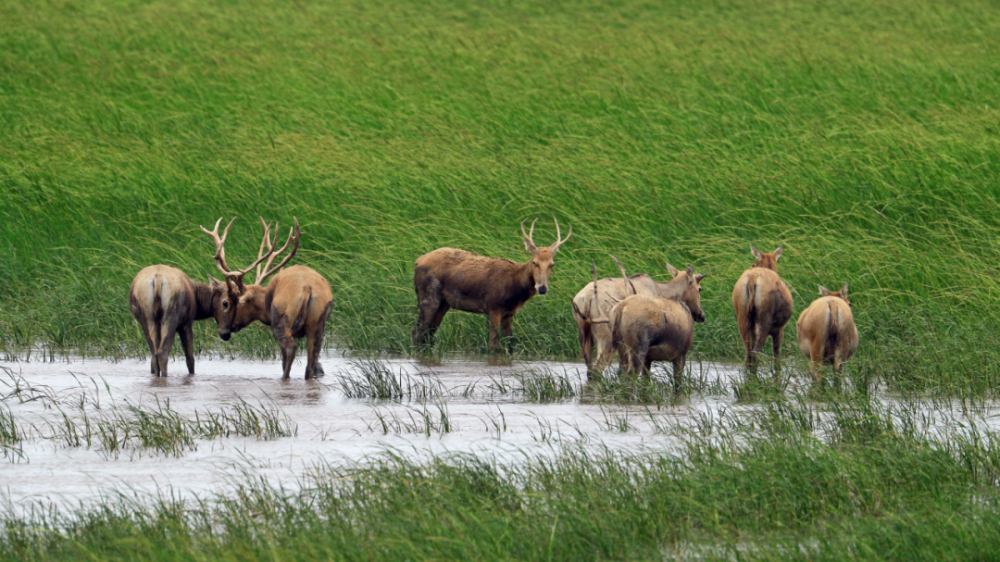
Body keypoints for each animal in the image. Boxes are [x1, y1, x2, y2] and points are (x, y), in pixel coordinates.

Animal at [201, 217, 334, 378]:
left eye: (235, 301)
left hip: (282, 320)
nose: (225, 332)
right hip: (317, 323)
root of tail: (306, 288)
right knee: (311, 363)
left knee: (290, 350)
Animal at [412, 215, 572, 350]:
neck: (515, 288)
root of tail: (417, 261)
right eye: (534, 262)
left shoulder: (509, 313)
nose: (542, 288)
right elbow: (494, 345)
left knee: (428, 333)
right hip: (429, 296)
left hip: (444, 303)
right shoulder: (493, 307)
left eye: (552, 264)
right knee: (418, 331)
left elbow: (510, 344)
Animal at [572, 258, 704, 376]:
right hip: (607, 338)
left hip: (584, 338)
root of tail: (586, 299)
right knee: (597, 371)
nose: (701, 315)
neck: (664, 292)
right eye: (699, 289)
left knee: (590, 370)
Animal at [604, 262, 708, 390]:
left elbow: (646, 383)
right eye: (699, 289)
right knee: (630, 378)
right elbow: (678, 386)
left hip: (622, 349)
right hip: (638, 349)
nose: (701, 315)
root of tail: (620, 307)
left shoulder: (648, 359)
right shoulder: (681, 354)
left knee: (621, 375)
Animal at [732, 244, 792, 372]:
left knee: (748, 354)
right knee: (755, 354)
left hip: (743, 315)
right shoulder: (780, 329)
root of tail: (753, 278)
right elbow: (777, 357)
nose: (752, 266)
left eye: (753, 264)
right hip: (765, 317)